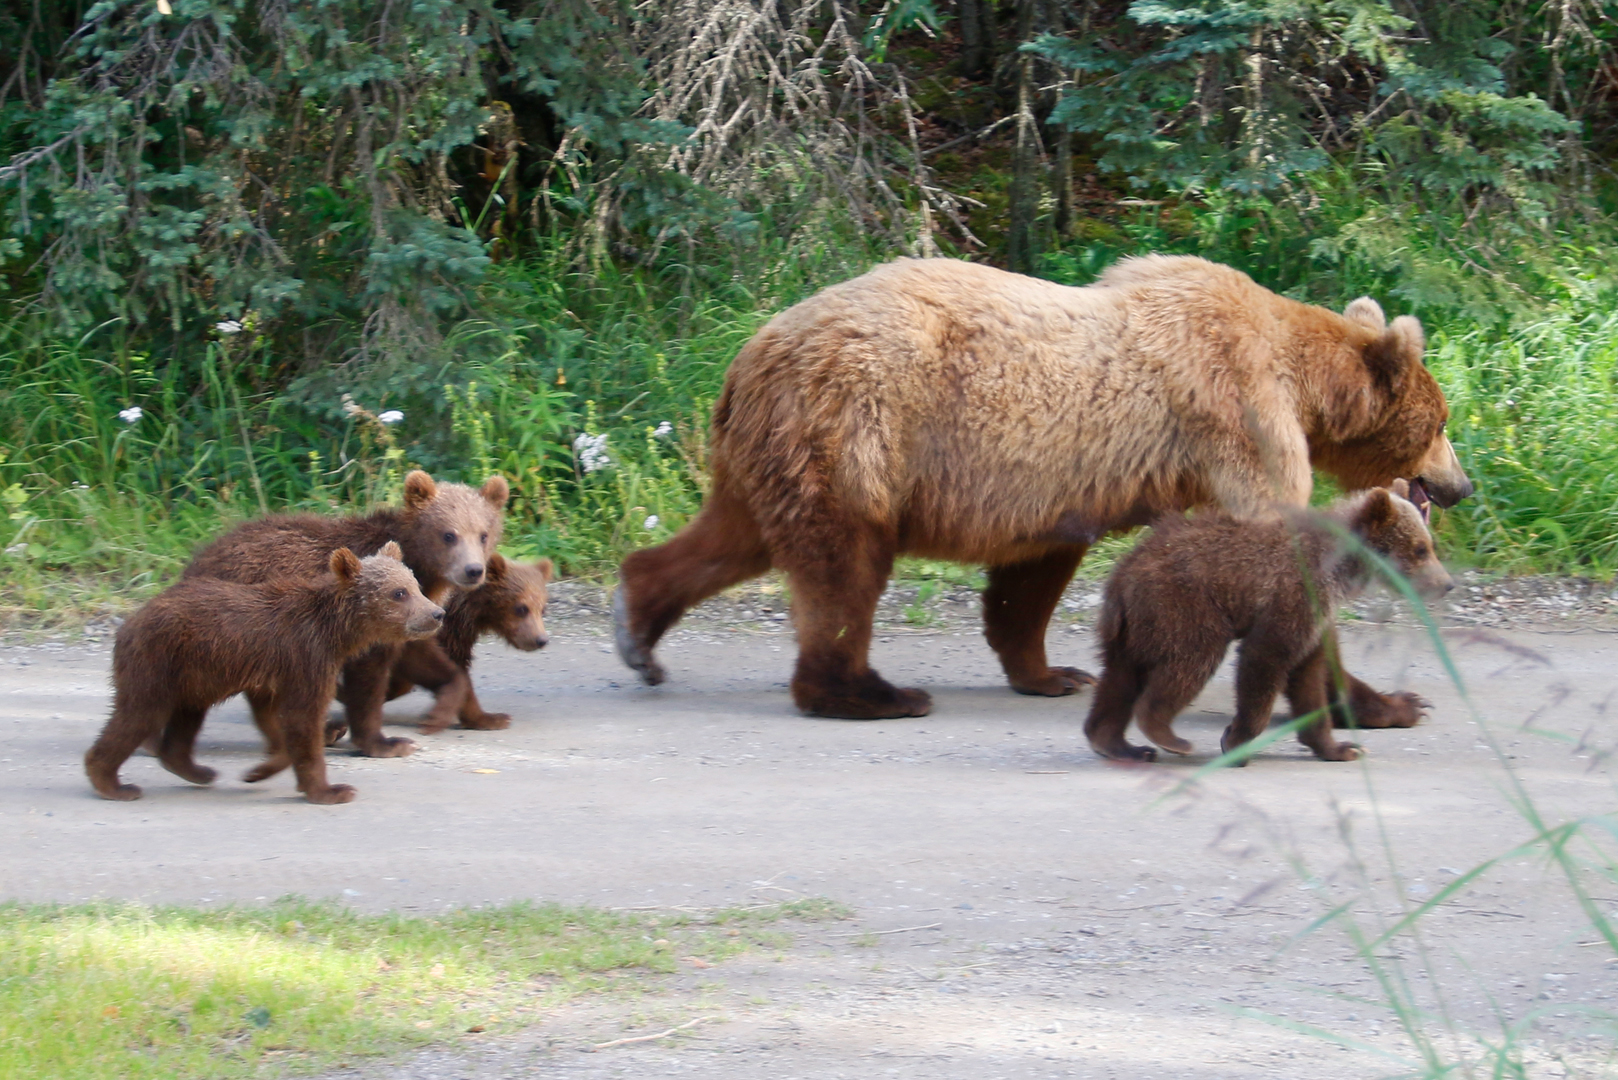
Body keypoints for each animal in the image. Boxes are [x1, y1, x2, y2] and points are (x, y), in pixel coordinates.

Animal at [611, 257, 1475, 722]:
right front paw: (1392, 702)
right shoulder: (1238, 415)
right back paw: (873, 692)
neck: (1302, 378)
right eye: (1440, 420)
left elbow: (1029, 582)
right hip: (856, 430)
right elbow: (1281, 556)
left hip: (770, 449)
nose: (1459, 484)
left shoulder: (1059, 482)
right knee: (841, 568)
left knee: (731, 537)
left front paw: (1053, 673)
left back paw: (639, 627)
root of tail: (749, 354)